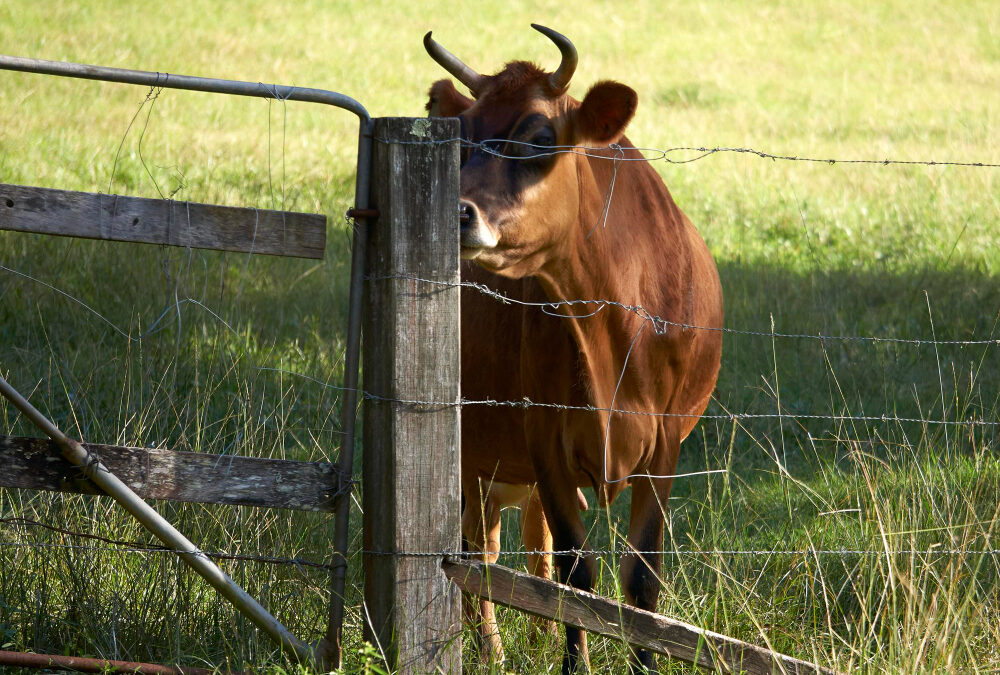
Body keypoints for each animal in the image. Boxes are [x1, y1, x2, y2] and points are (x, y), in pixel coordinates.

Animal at [426, 23, 724, 672]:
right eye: (462, 138)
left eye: (539, 137)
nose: (456, 213)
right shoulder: (545, 439)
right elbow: (577, 576)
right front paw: (573, 662)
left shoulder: (665, 444)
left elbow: (640, 583)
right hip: (470, 446)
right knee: (478, 549)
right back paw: (488, 649)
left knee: (524, 545)